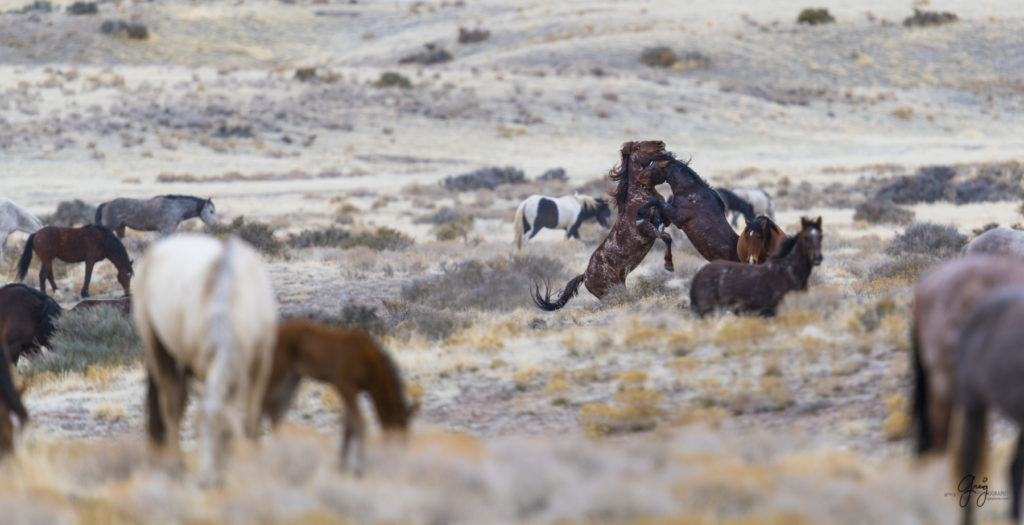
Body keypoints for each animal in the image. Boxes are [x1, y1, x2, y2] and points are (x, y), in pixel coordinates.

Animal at [136, 233, 282, 483]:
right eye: (197, 432)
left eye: (226, 434)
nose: (207, 483)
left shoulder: (260, 367)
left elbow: (252, 418)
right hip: (160, 352)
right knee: (171, 408)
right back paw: (176, 466)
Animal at [264, 317, 415, 472]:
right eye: (399, 432)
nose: (398, 457)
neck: (369, 365)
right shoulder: (345, 384)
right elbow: (359, 423)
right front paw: (359, 468)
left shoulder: (351, 390)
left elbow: (349, 426)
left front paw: (341, 466)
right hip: (278, 368)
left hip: (294, 375)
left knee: (276, 410)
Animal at [532, 140, 675, 311]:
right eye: (638, 146)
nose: (660, 144)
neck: (639, 196)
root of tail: (585, 276)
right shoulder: (645, 228)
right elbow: (666, 237)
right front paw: (669, 265)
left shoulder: (664, 218)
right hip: (613, 290)